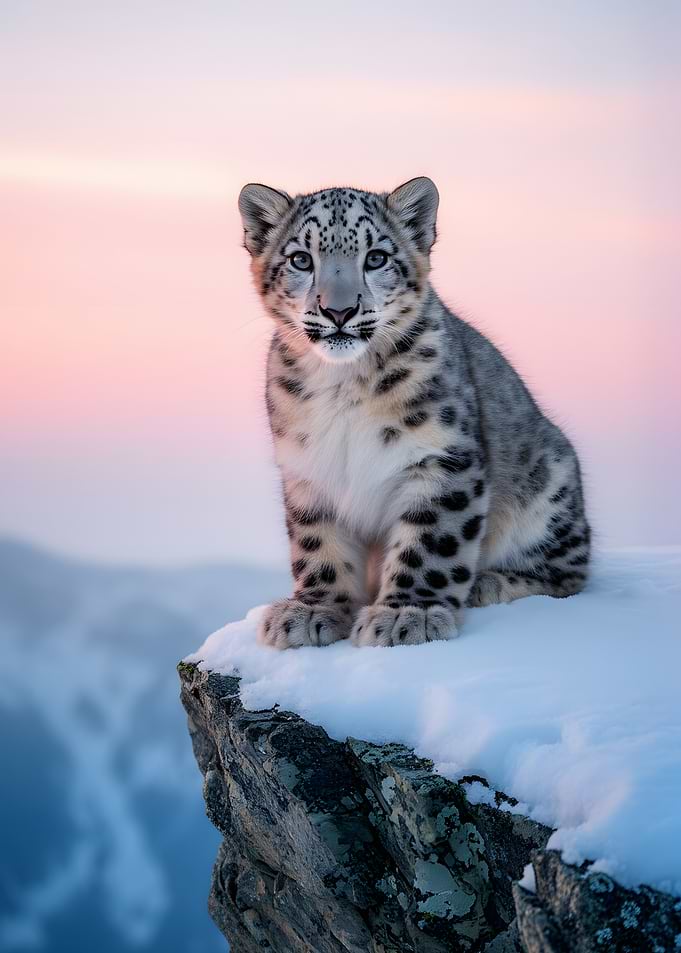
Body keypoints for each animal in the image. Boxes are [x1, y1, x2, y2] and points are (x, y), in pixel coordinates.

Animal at [238, 176, 591, 648]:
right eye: (300, 259)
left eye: (376, 258)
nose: (338, 311)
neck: (344, 385)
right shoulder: (309, 468)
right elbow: (318, 544)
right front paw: (312, 610)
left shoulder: (442, 458)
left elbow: (431, 541)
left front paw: (408, 614)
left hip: (550, 487)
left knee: (569, 573)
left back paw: (488, 583)